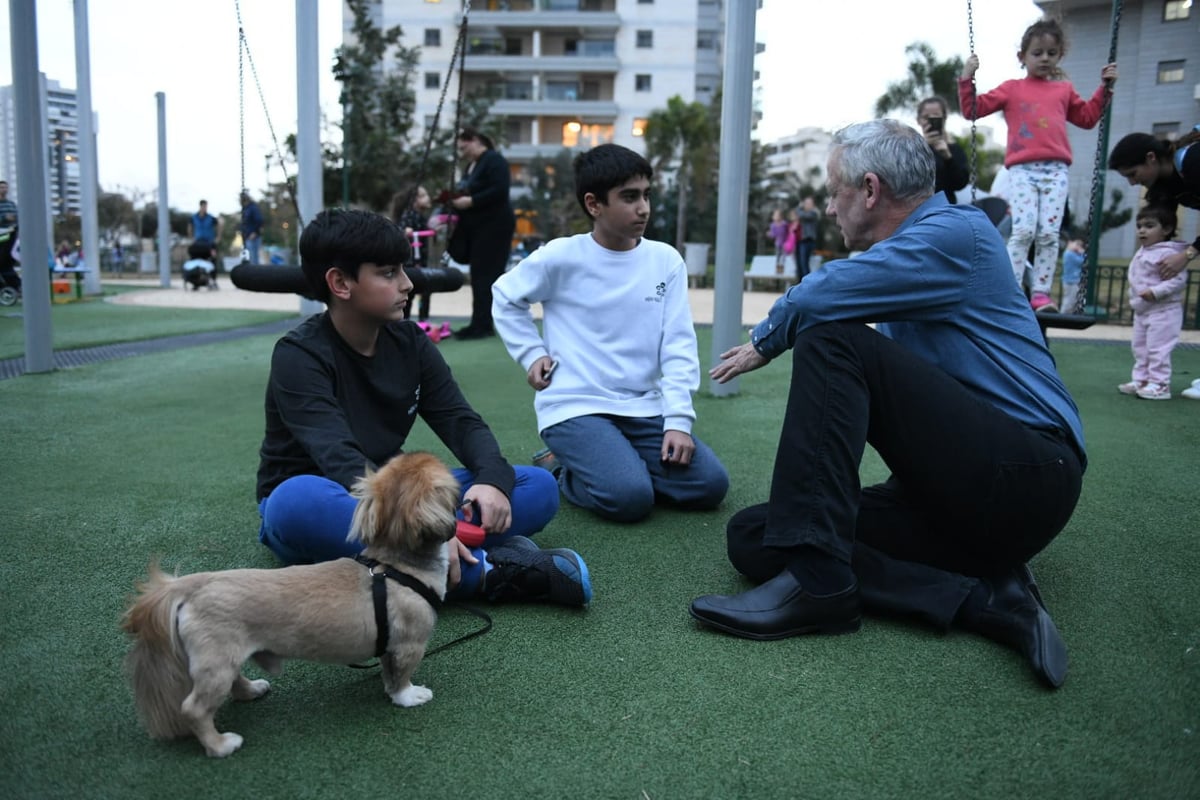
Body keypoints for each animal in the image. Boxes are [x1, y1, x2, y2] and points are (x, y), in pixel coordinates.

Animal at [121, 450, 458, 758]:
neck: (395, 566)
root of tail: (190, 586)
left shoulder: (389, 646)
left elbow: (388, 672)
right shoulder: (409, 645)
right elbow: (401, 676)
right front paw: (408, 696)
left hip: (224, 660)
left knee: (232, 683)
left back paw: (252, 691)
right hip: (216, 665)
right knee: (193, 709)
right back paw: (220, 745)